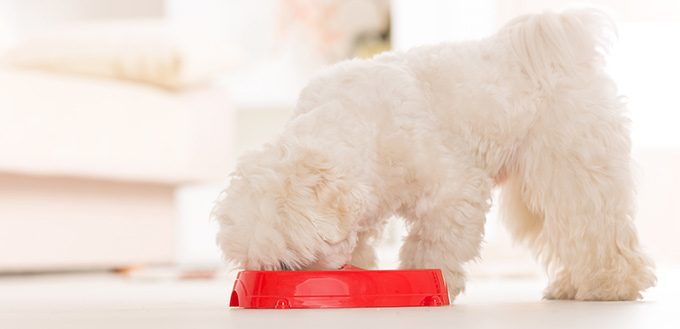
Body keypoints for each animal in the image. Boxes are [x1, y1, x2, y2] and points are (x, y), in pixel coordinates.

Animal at [215, 8, 656, 300]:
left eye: (288, 265)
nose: (279, 280)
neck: (357, 122)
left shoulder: (455, 189)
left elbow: (435, 243)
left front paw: (426, 279)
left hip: (574, 170)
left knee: (596, 228)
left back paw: (610, 285)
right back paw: (570, 285)